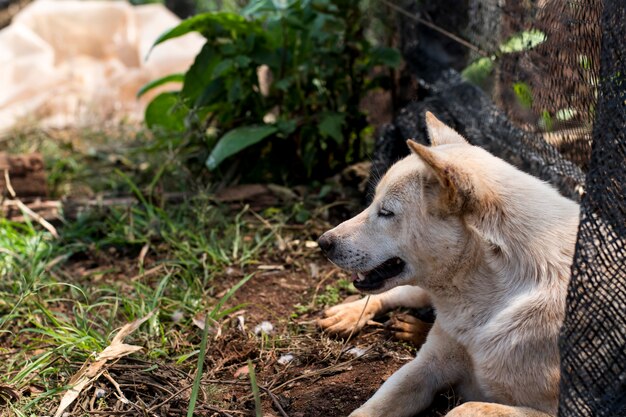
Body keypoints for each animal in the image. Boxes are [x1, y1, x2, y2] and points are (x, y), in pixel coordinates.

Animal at [314, 112, 576, 414]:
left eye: (386, 212)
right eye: (373, 204)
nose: (322, 242)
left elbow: (463, 408)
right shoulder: (424, 367)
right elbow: (367, 410)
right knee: (403, 294)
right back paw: (349, 315)